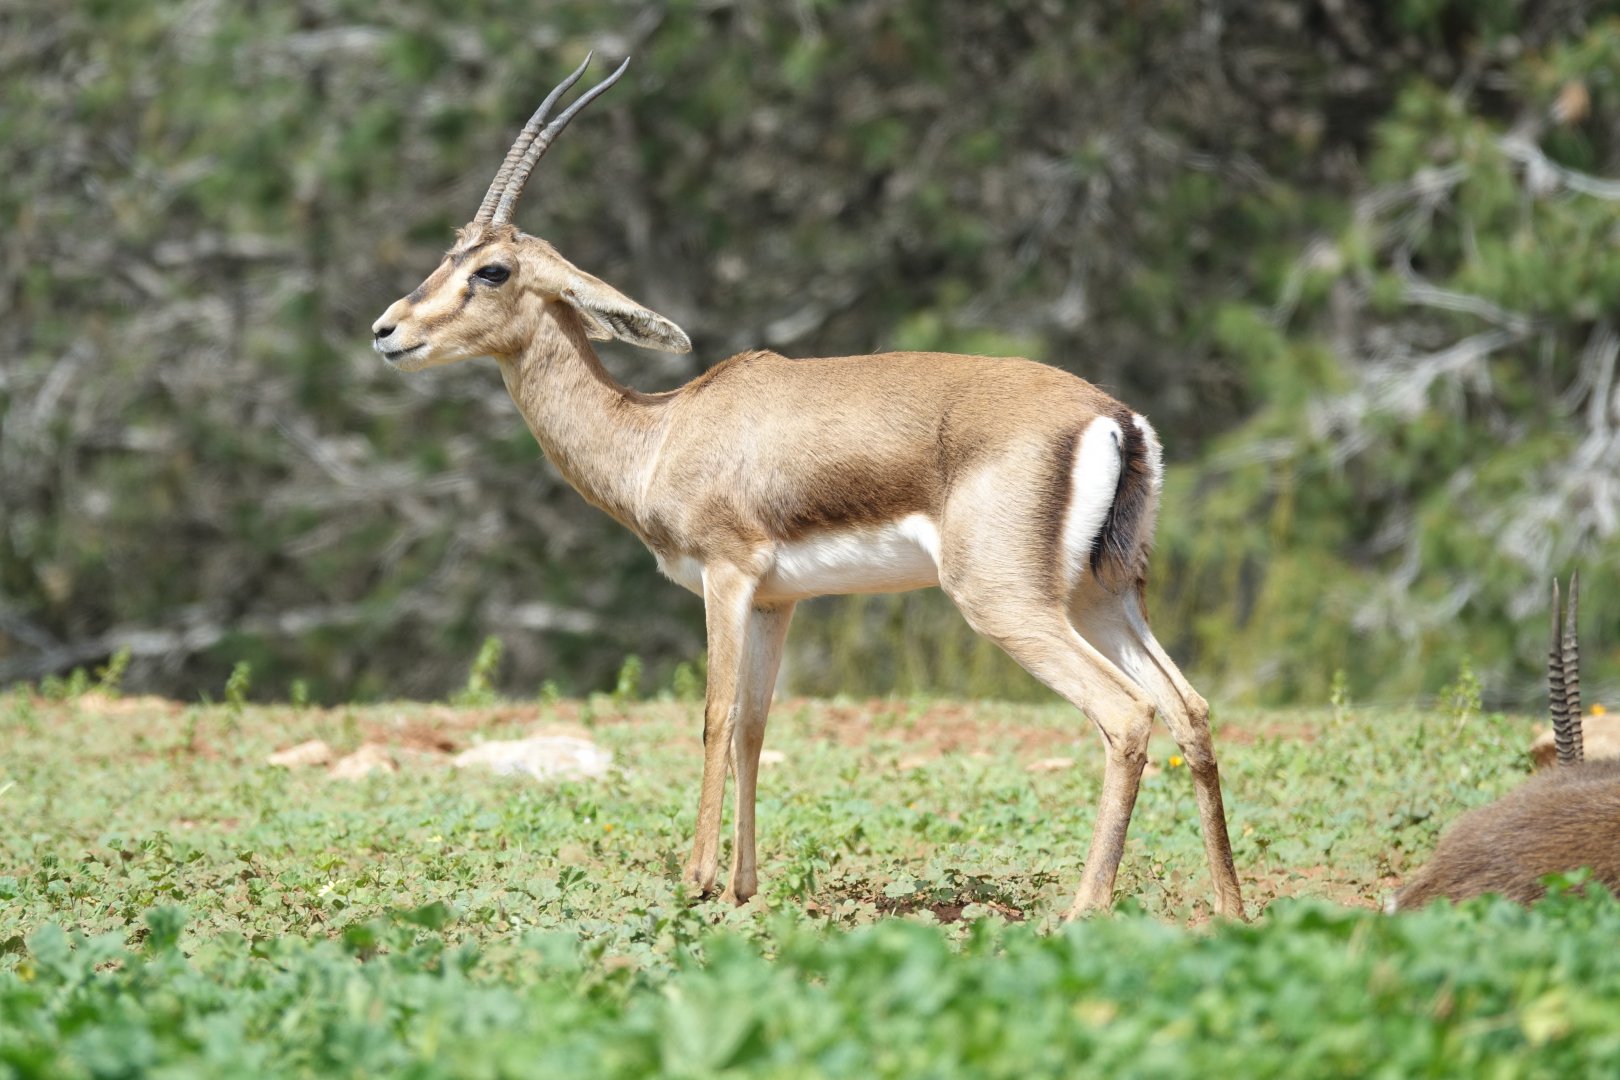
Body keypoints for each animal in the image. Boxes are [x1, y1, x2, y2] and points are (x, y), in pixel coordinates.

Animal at [371, 56, 1245, 920]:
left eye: (491, 269)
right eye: (450, 252)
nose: (387, 331)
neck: (661, 432)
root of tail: (1114, 419)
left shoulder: (726, 577)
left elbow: (715, 714)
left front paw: (696, 883)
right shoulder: (777, 601)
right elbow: (757, 724)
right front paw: (743, 888)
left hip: (1008, 603)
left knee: (1126, 714)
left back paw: (1084, 911)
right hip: (1105, 595)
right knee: (1189, 710)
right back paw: (1231, 908)